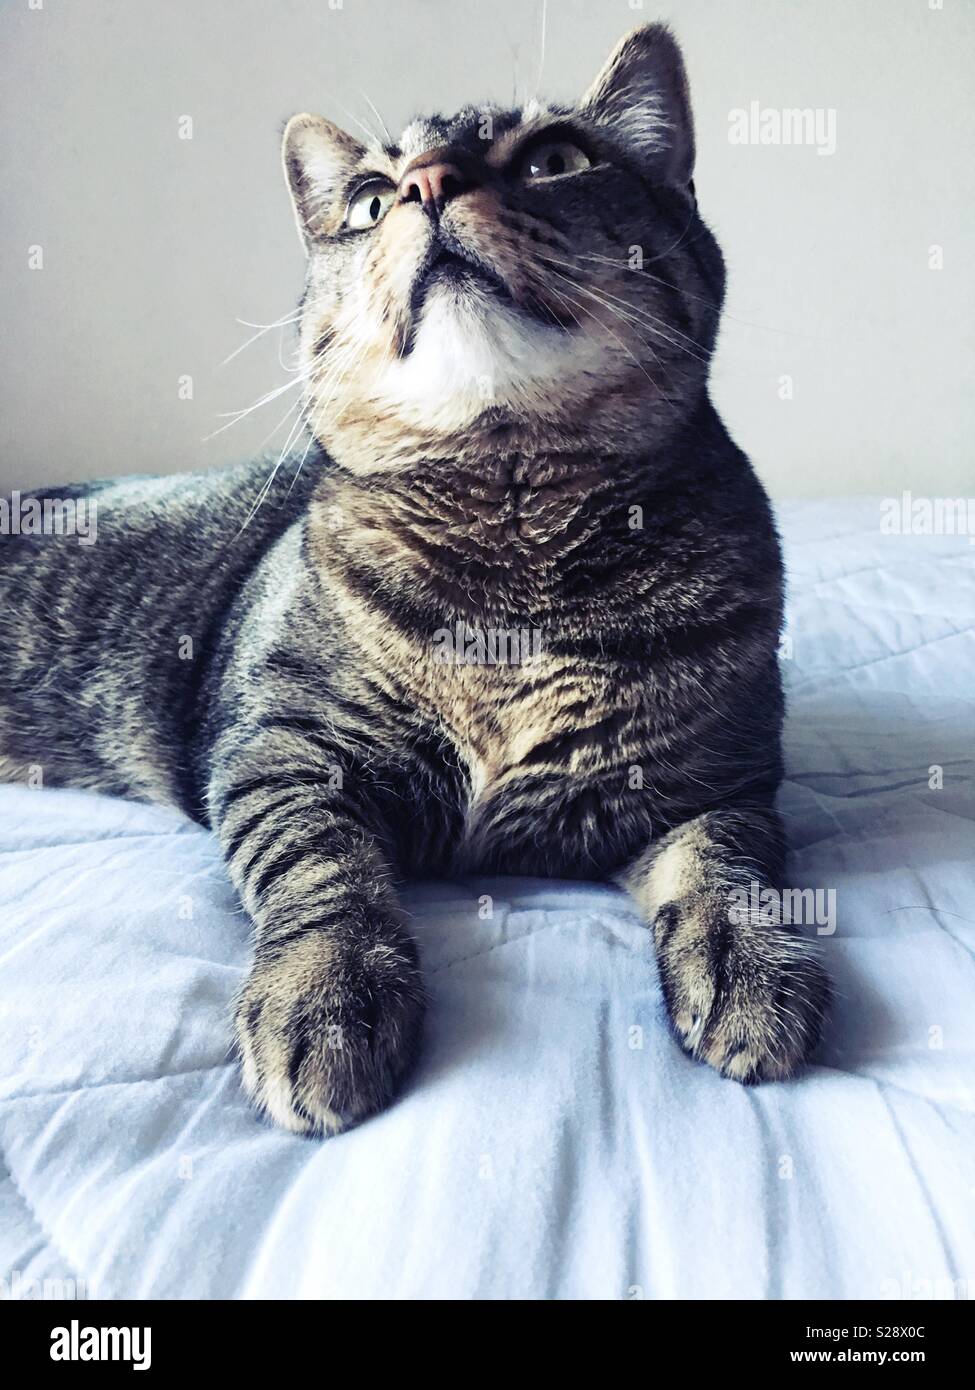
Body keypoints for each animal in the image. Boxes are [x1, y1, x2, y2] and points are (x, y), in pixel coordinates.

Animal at [0, 27, 828, 1134]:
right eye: (368, 200)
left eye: (555, 158)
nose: (429, 183)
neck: (514, 557)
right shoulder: (280, 752)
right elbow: (325, 870)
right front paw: (325, 994)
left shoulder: (712, 785)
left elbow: (733, 868)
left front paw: (752, 968)